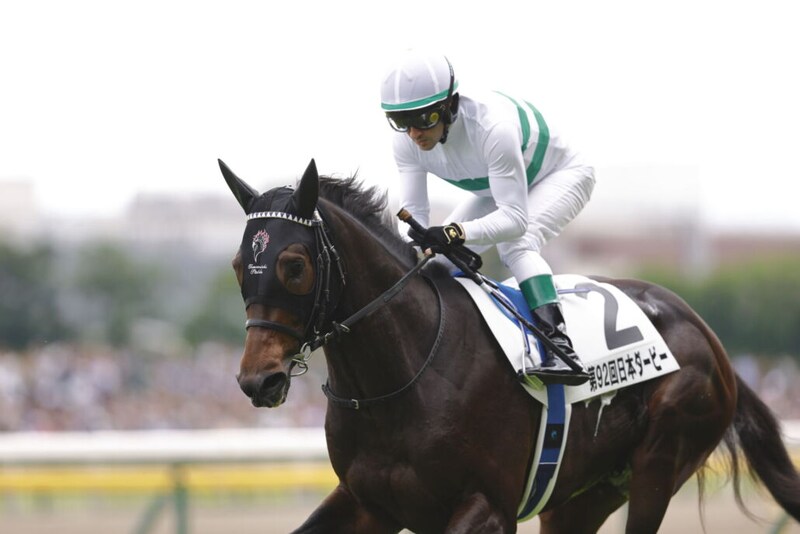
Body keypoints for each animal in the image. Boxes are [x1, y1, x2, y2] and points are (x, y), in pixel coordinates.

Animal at [219, 158, 800, 533]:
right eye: (238, 264)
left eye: (294, 265)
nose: (257, 380)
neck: (401, 377)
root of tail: (708, 335)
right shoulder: (369, 502)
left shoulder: (487, 506)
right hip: (583, 494)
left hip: (660, 462)